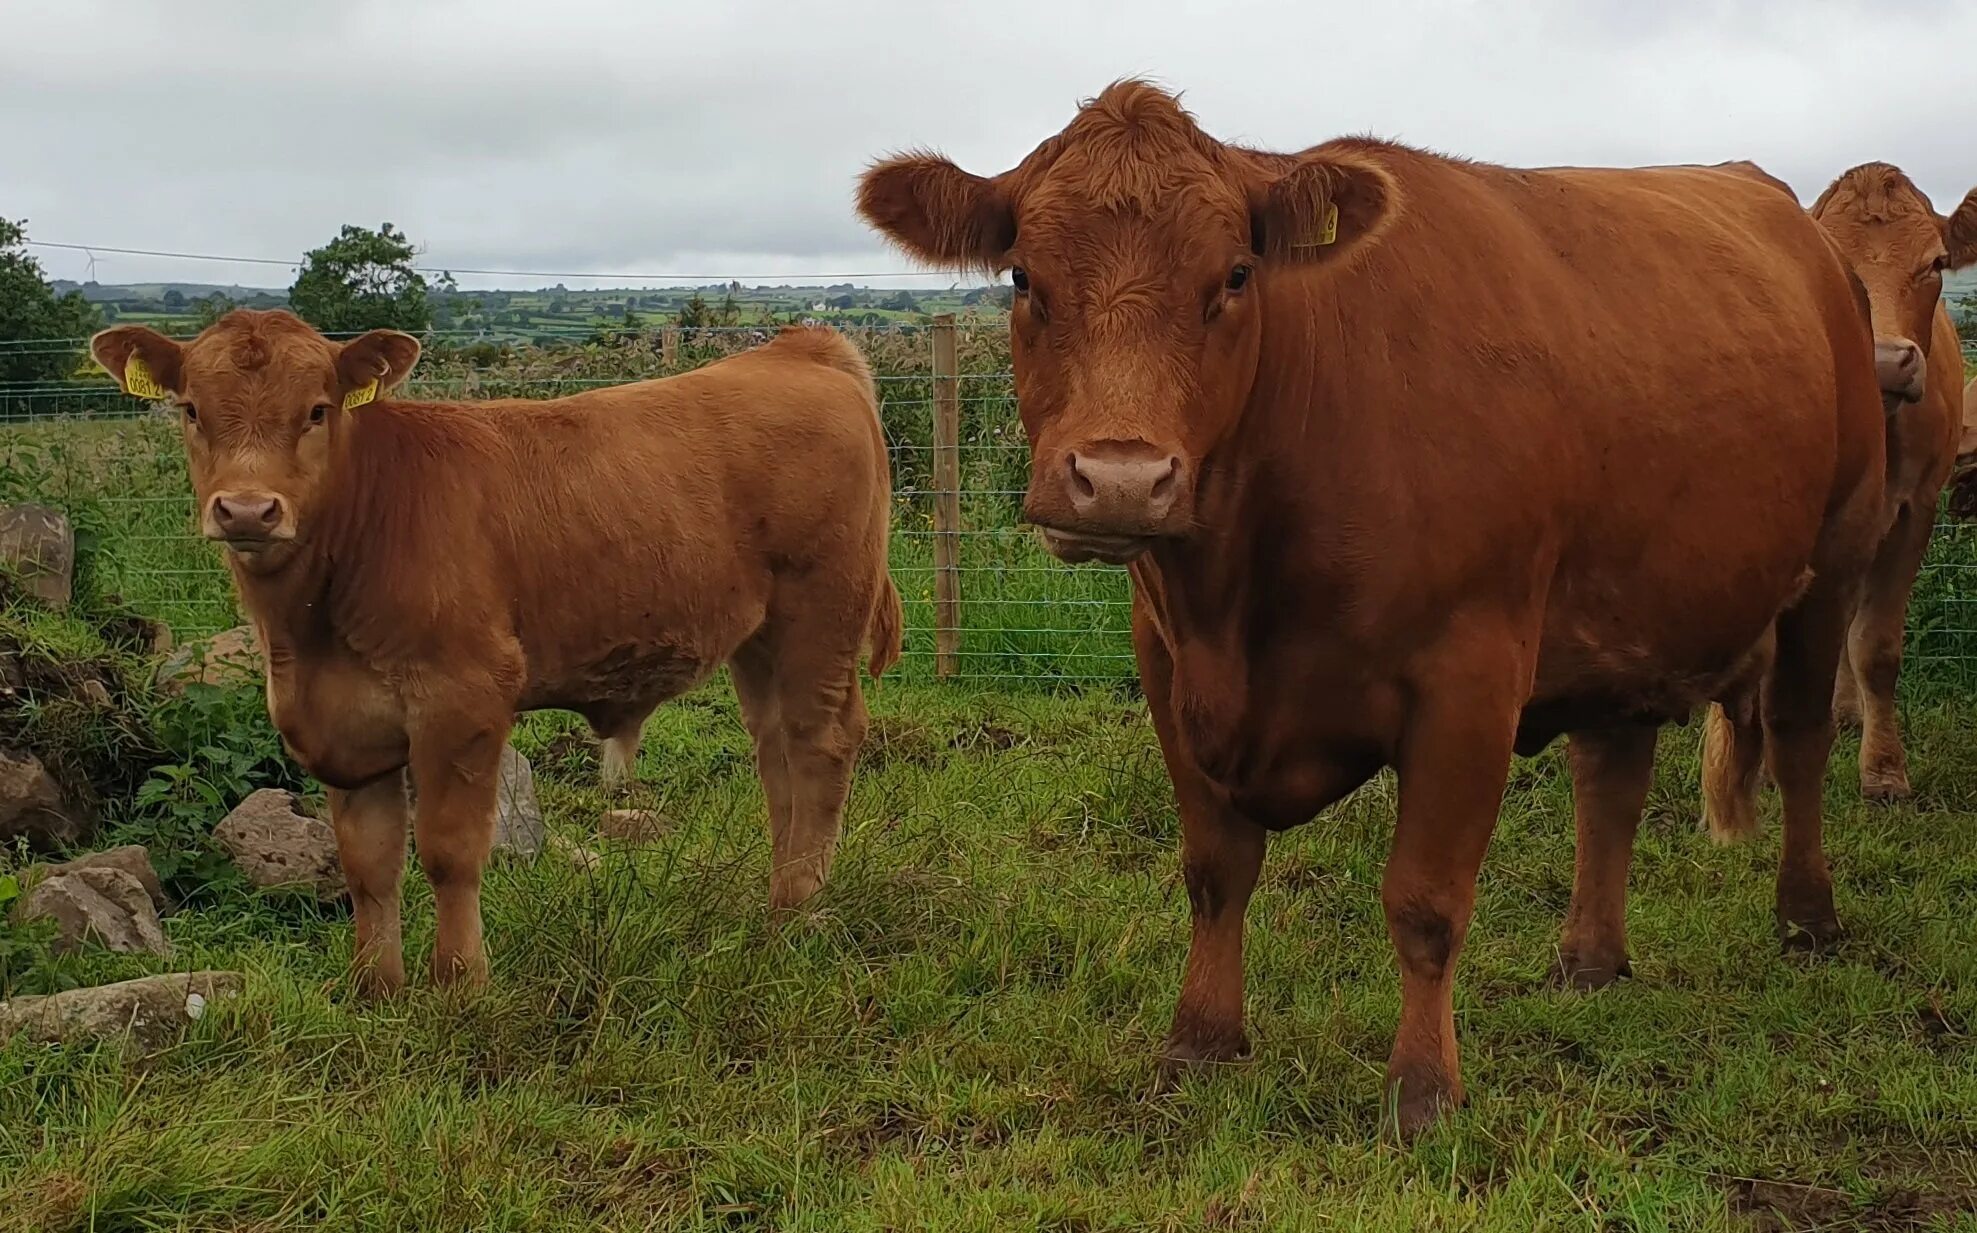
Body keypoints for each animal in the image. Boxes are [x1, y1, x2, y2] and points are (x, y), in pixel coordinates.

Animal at [86, 310, 905, 991]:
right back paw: (774, 905)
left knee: (821, 743)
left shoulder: (464, 697)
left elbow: (448, 852)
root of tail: (796, 347)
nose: (248, 509)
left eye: (317, 410)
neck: (310, 630)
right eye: (191, 409)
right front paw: (375, 990)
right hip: (760, 638)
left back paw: (797, 913)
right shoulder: (347, 727)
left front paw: (460, 985)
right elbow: (367, 866)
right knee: (777, 752)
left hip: (822, 611)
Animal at [858, 82, 1890, 1130]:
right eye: (1023, 277)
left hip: (1838, 550)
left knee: (1799, 735)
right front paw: (1200, 1040)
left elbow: (1424, 901)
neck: (1238, 600)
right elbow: (1213, 869)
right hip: (1629, 605)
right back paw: (1589, 959)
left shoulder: (1469, 676)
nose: (1119, 480)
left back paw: (1807, 915)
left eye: (1236, 275)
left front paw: (1423, 1091)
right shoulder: (1168, 663)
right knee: (1611, 775)